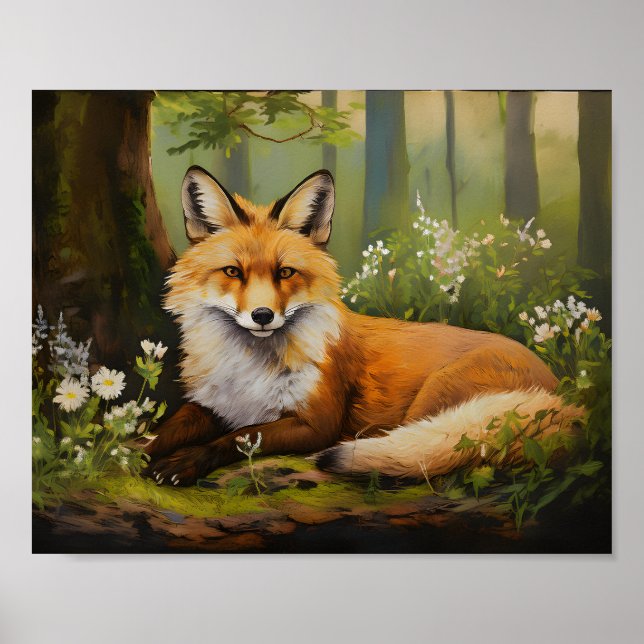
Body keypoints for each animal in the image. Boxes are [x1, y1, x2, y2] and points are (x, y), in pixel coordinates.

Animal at [144, 165, 582, 486]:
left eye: (285, 272)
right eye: (233, 272)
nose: (263, 316)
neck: (249, 369)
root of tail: (562, 395)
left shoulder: (315, 425)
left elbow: (236, 438)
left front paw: (184, 462)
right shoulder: (214, 403)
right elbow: (169, 430)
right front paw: (139, 452)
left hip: (434, 396)